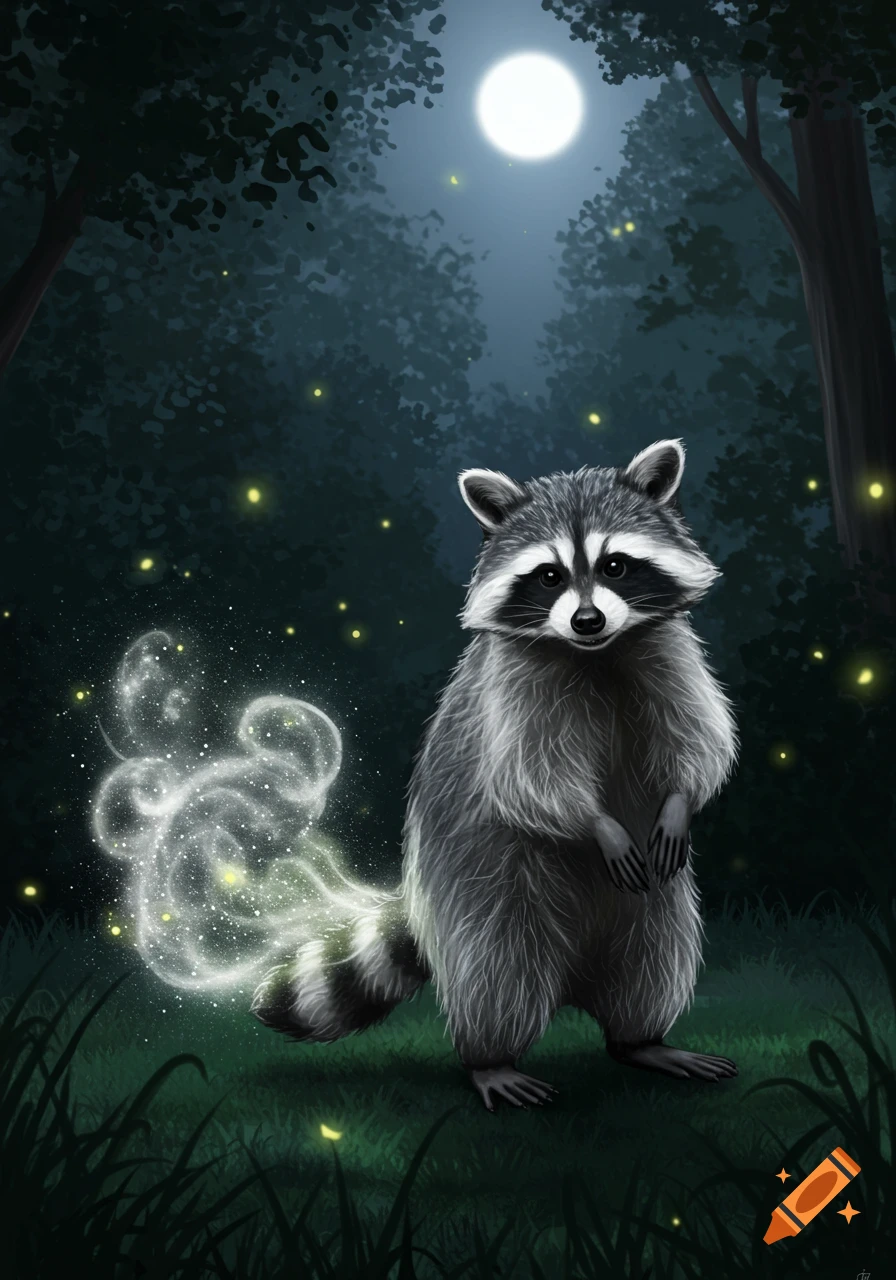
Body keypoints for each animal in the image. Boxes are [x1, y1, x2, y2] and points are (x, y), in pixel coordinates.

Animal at [252, 439, 739, 1111]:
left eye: (615, 565)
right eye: (549, 575)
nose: (587, 620)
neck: (595, 655)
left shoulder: (670, 656)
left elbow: (701, 742)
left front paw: (680, 801)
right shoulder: (508, 696)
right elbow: (527, 778)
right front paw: (598, 825)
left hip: (653, 902)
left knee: (654, 958)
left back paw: (641, 1040)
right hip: (482, 883)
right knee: (496, 973)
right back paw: (490, 1059)